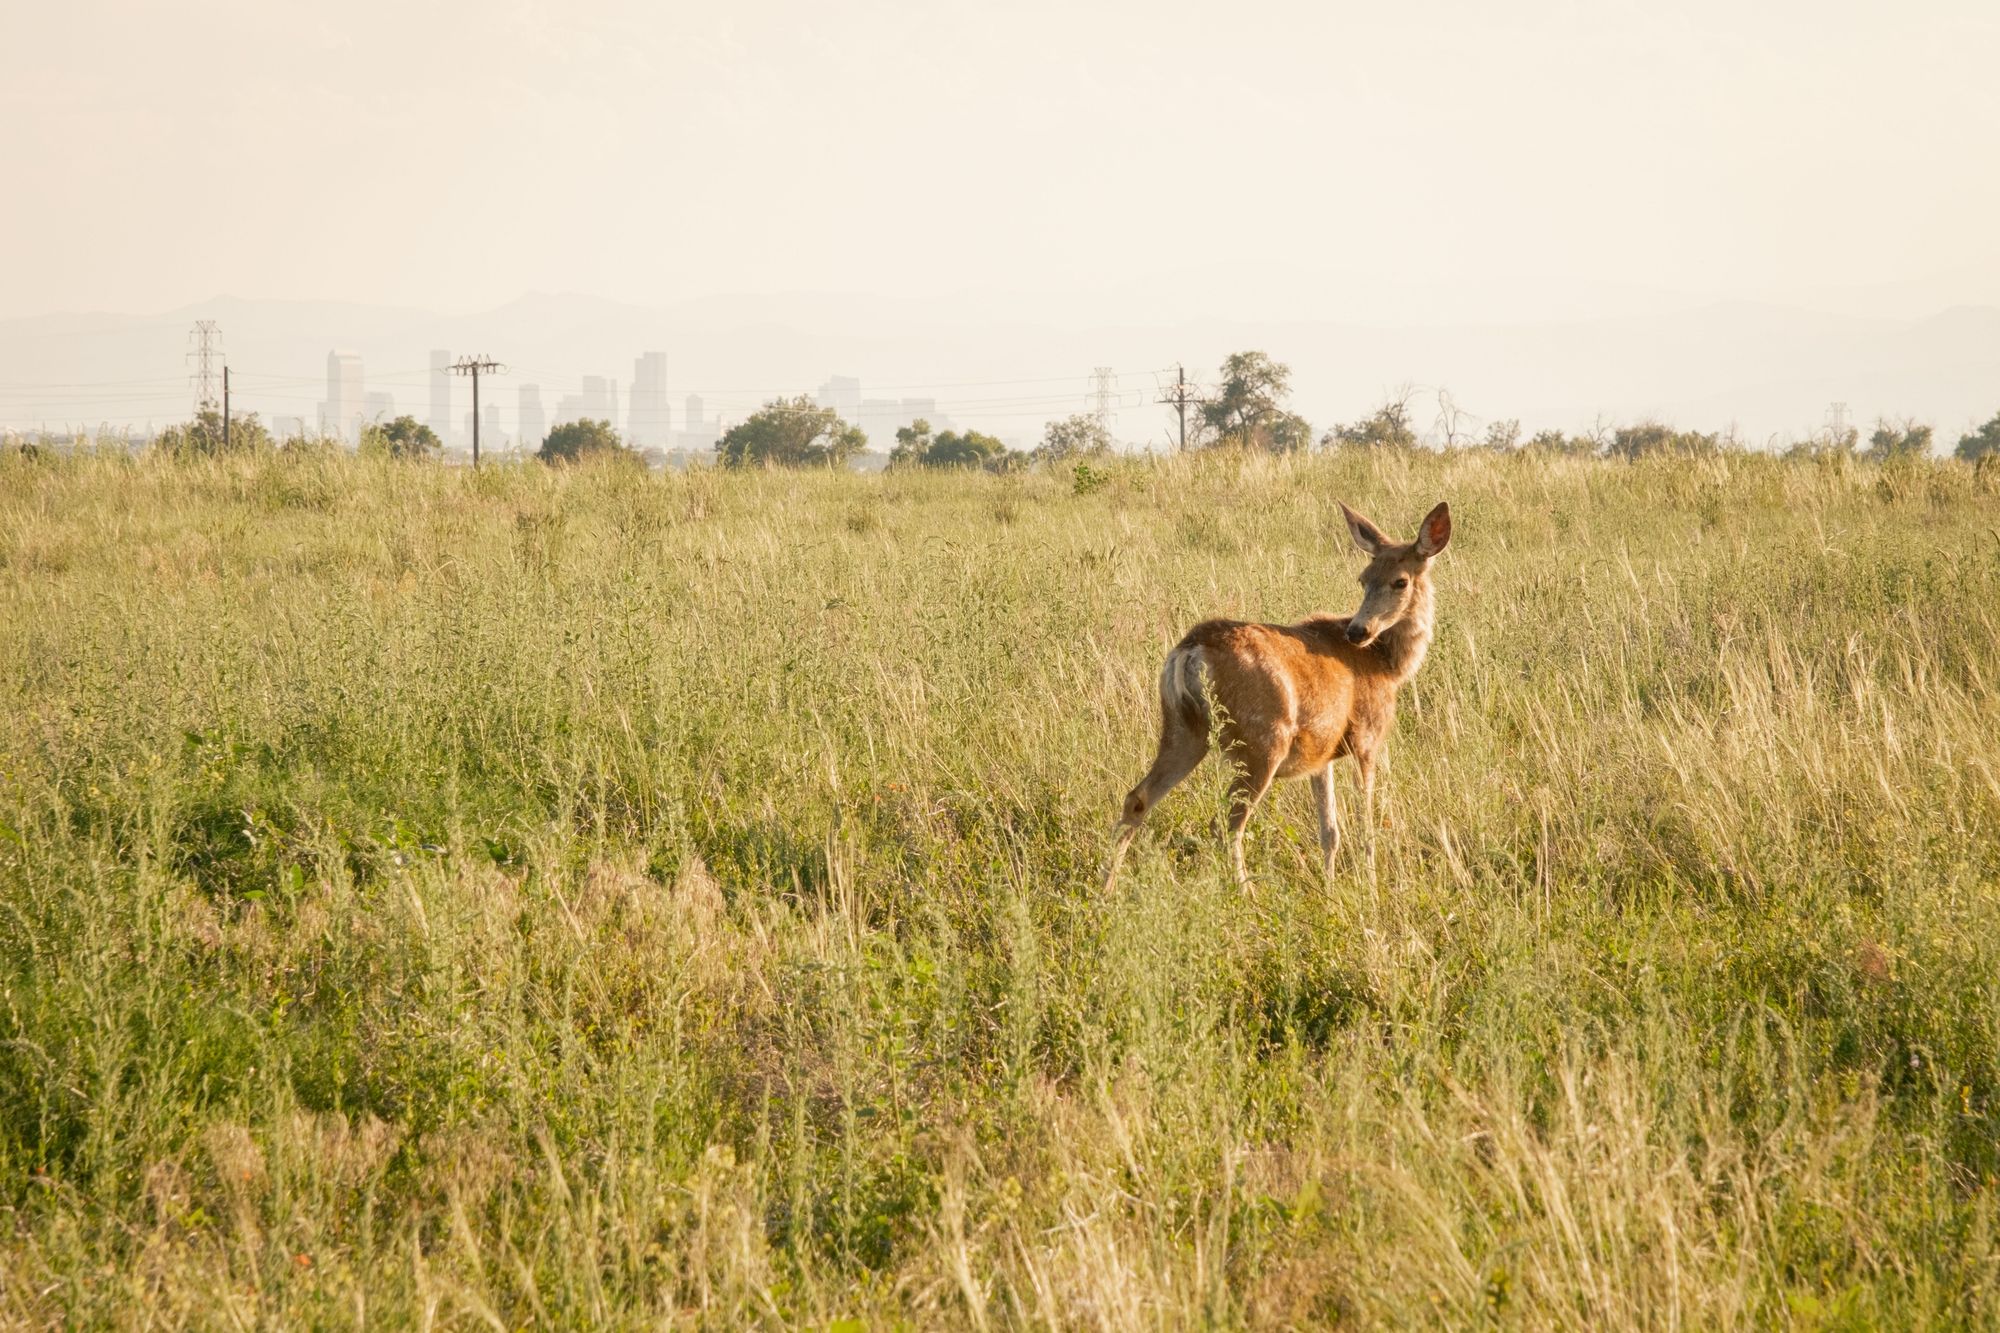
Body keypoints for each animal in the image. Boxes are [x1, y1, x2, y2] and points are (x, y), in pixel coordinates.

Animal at [1102, 500, 1451, 892]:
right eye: (1364, 579)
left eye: (1399, 580)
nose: (1358, 631)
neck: (1386, 663)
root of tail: (1190, 651)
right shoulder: (1367, 737)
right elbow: (1366, 825)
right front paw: (1370, 886)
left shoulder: (1322, 753)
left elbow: (1330, 831)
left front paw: (1329, 886)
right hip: (1262, 740)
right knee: (1225, 825)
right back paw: (1246, 894)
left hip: (1183, 730)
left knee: (1138, 798)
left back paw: (1105, 889)